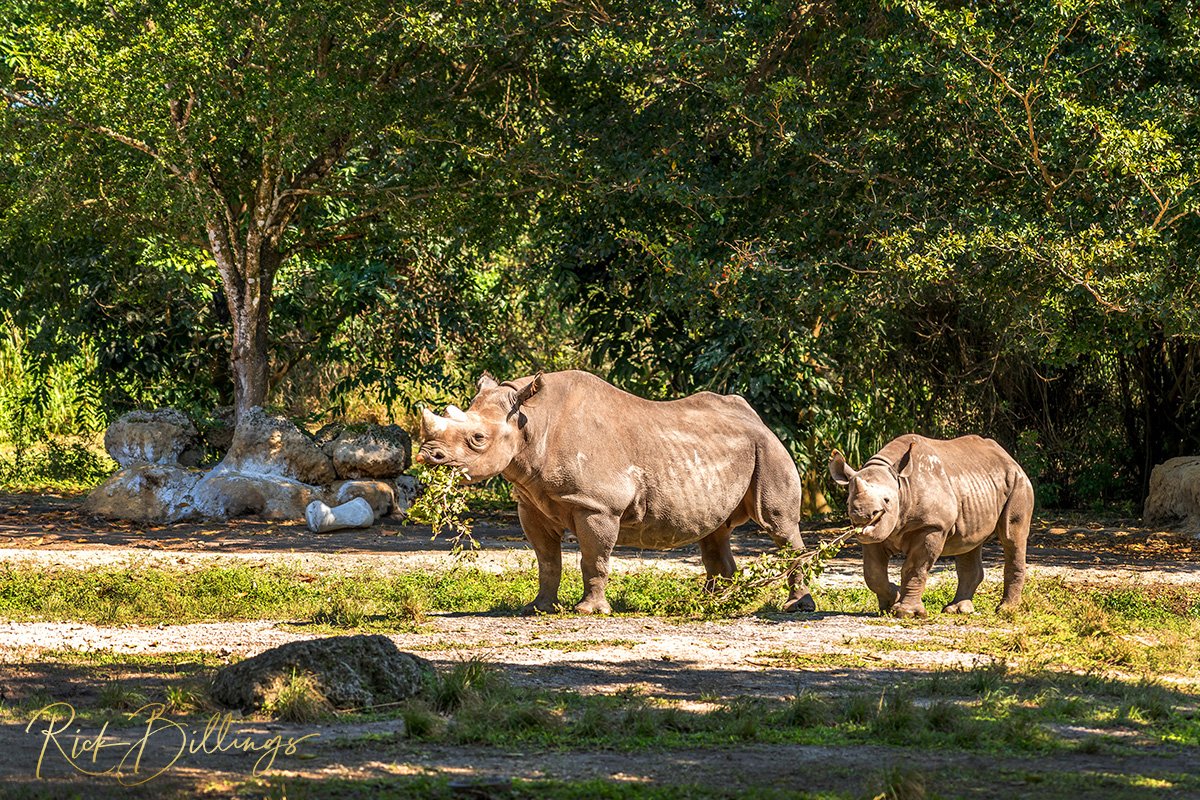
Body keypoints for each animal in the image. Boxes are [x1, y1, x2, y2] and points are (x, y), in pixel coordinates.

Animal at [416, 370, 815, 615]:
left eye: (478, 439)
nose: (427, 455)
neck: (532, 420)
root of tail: (759, 419)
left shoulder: (598, 505)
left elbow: (594, 559)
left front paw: (588, 611)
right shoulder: (530, 503)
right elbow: (547, 560)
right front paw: (538, 608)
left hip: (768, 449)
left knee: (779, 525)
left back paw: (796, 607)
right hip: (730, 451)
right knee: (715, 532)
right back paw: (713, 605)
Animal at [828, 434, 1032, 618]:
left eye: (887, 500)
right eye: (848, 503)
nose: (862, 515)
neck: (902, 485)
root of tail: (1009, 458)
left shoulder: (932, 527)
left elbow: (914, 568)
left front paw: (906, 613)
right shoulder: (877, 533)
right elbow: (873, 573)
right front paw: (891, 601)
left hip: (1018, 482)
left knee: (1012, 538)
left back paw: (1005, 611)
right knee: (969, 543)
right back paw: (957, 610)